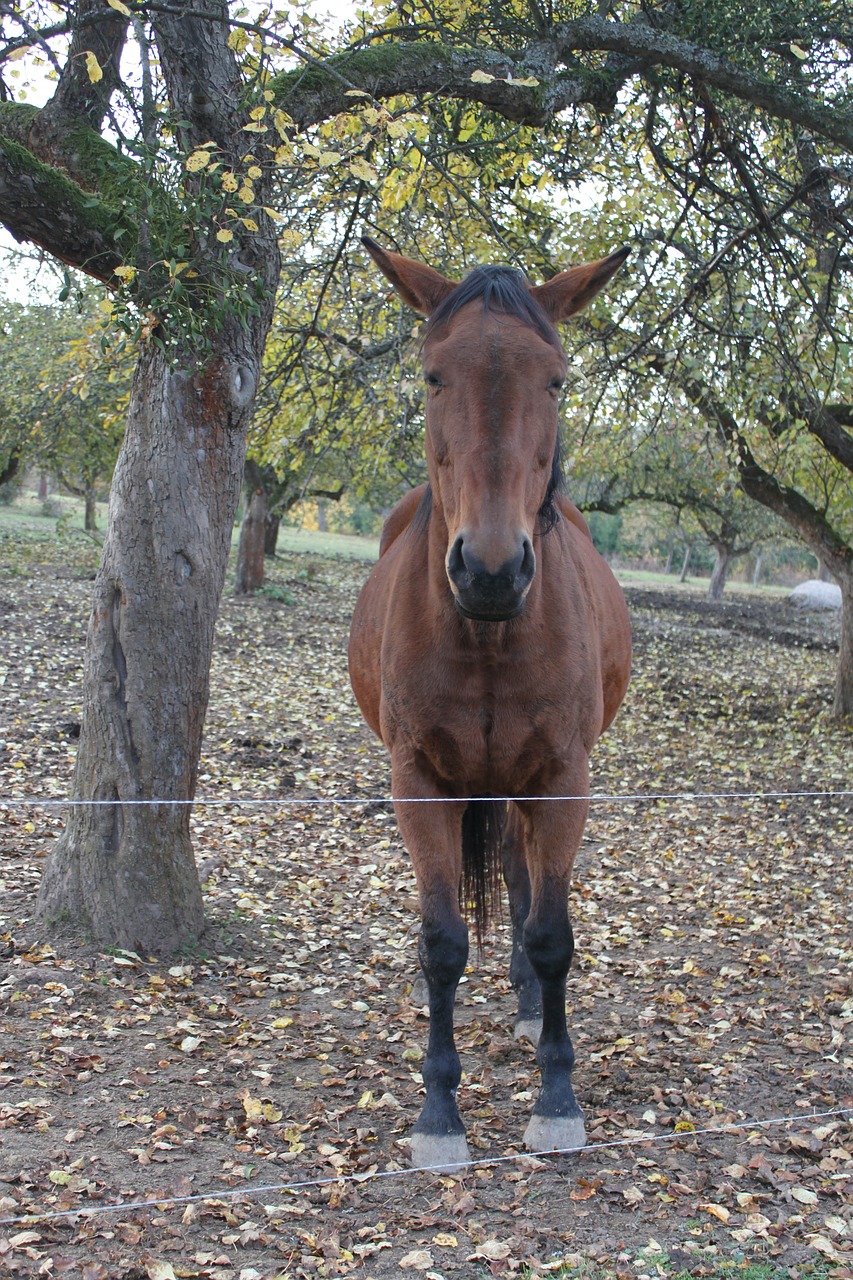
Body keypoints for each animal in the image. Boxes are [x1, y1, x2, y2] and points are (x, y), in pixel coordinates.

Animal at [348, 235, 630, 1167]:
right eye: (433, 375)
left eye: (557, 380)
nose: (491, 570)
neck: (489, 633)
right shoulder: (420, 783)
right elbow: (441, 943)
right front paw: (438, 1114)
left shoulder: (563, 778)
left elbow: (550, 934)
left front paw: (556, 1100)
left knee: (521, 877)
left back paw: (527, 1007)